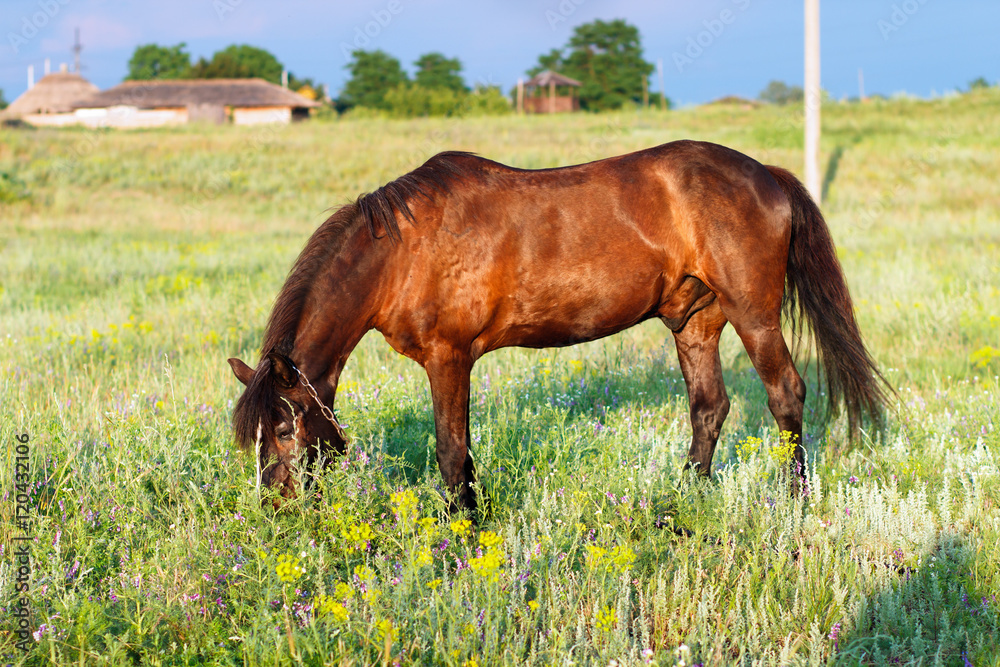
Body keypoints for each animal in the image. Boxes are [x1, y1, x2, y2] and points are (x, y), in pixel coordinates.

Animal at [228, 140, 888, 514]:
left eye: (283, 431)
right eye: (253, 438)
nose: (275, 509)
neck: (401, 252)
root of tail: (768, 175)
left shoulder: (449, 358)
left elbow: (450, 451)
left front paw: (460, 530)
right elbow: (464, 452)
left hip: (754, 315)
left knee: (786, 395)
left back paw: (795, 503)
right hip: (696, 321)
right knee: (709, 406)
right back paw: (685, 500)